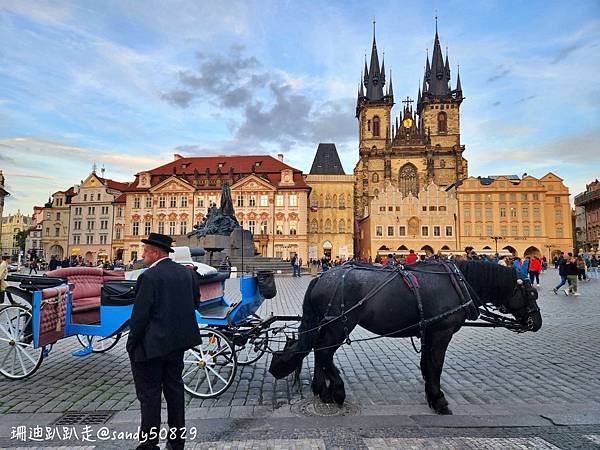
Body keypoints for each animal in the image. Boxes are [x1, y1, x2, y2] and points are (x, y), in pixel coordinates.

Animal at [270, 260, 540, 414]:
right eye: (531, 294)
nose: (537, 323)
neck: (457, 282)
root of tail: (320, 277)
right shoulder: (441, 332)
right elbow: (436, 365)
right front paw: (439, 400)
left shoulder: (429, 331)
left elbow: (427, 365)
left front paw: (431, 394)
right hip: (339, 324)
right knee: (324, 351)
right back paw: (336, 392)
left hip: (328, 323)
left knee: (317, 349)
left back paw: (321, 390)